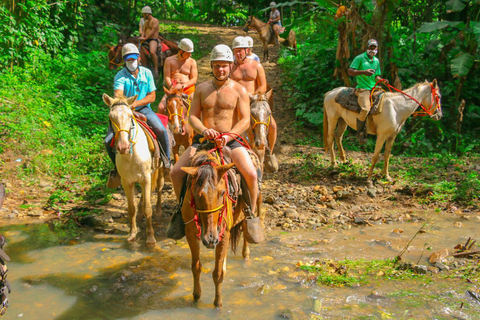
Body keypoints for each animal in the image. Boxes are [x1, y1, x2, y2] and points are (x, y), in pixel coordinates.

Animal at [101, 94, 165, 246]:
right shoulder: (127, 182)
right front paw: (132, 234)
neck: (131, 155)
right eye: (111, 117)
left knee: (159, 187)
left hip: (160, 169)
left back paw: (159, 211)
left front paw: (150, 237)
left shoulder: (146, 178)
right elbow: (131, 208)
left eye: (130, 116)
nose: (123, 147)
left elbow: (148, 208)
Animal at [181, 150, 262, 308]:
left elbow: (217, 273)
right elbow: (196, 267)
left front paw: (218, 304)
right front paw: (196, 296)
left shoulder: (223, 234)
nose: (210, 238)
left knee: (246, 231)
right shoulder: (190, 232)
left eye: (223, 193)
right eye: (196, 195)